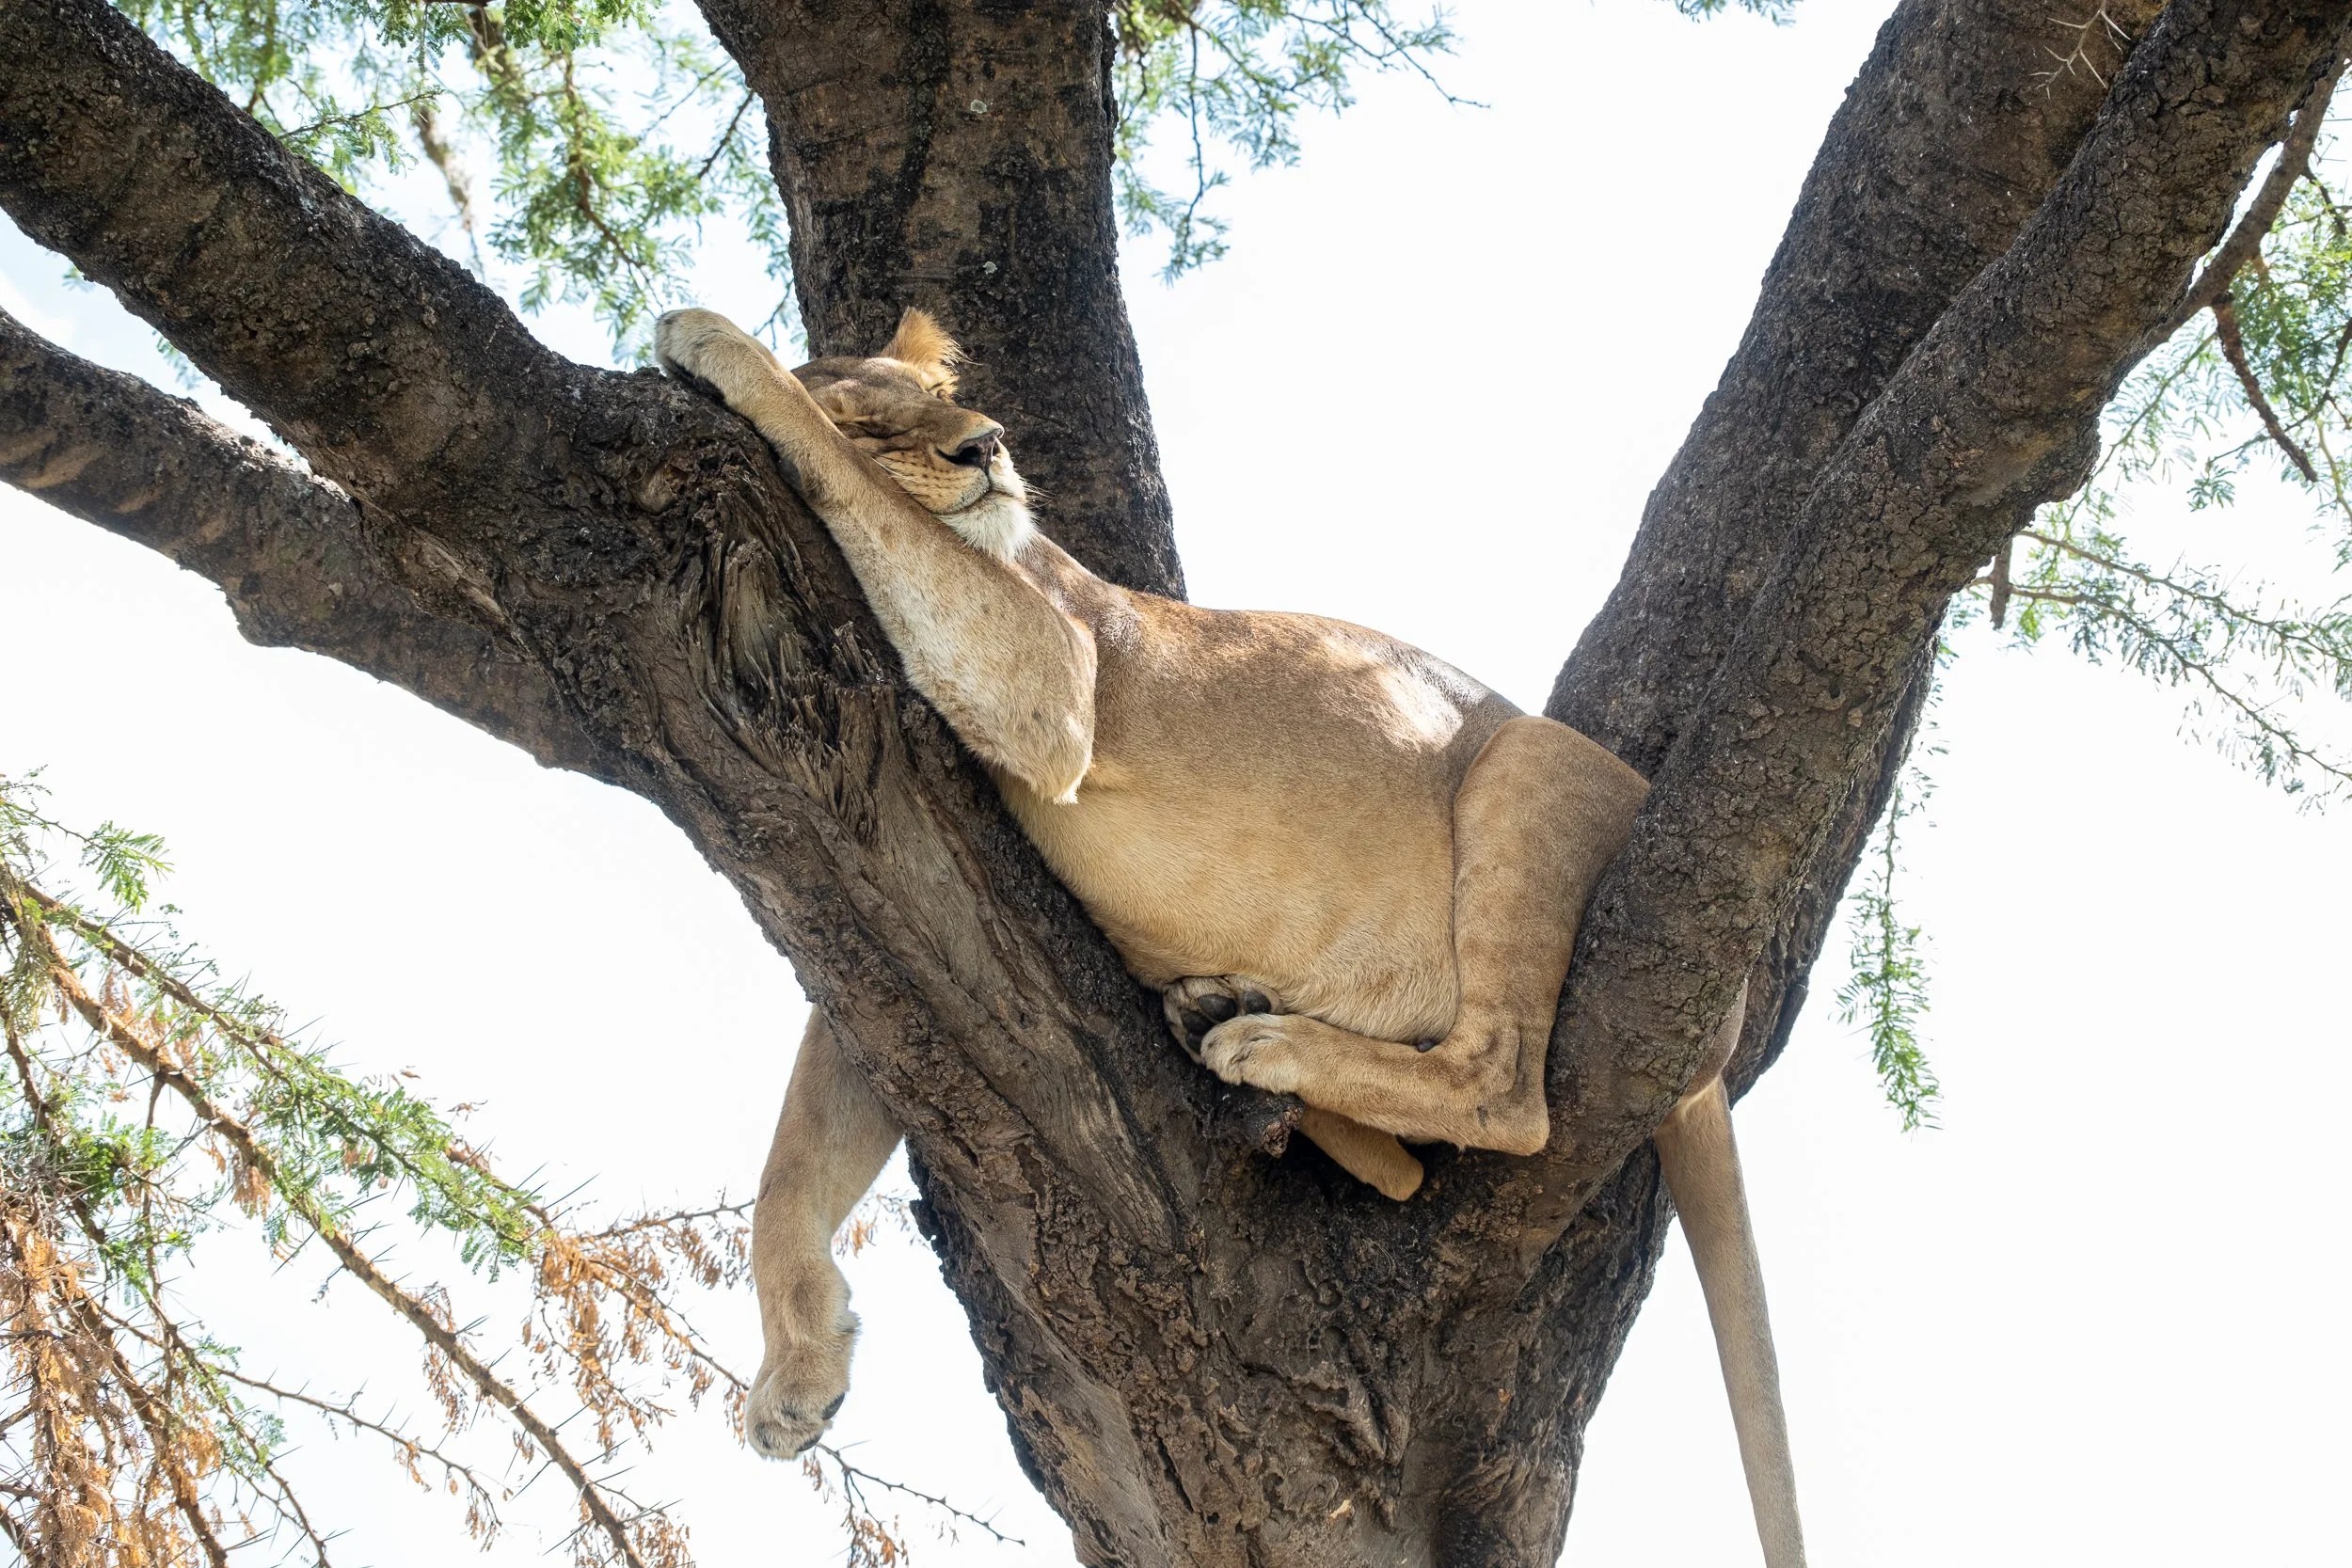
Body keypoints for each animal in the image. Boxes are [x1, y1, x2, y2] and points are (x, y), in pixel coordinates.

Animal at [654, 307, 1807, 1568]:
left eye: (941, 399)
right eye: (883, 416)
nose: (987, 444)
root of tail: (1719, 1033)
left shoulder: (1050, 673)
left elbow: (840, 472)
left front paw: (712, 341)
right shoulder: (905, 899)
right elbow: (790, 1164)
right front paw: (794, 1379)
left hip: (1525, 764)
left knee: (1505, 1088)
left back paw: (1264, 1044)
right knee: (1410, 1169)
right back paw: (1222, 1016)